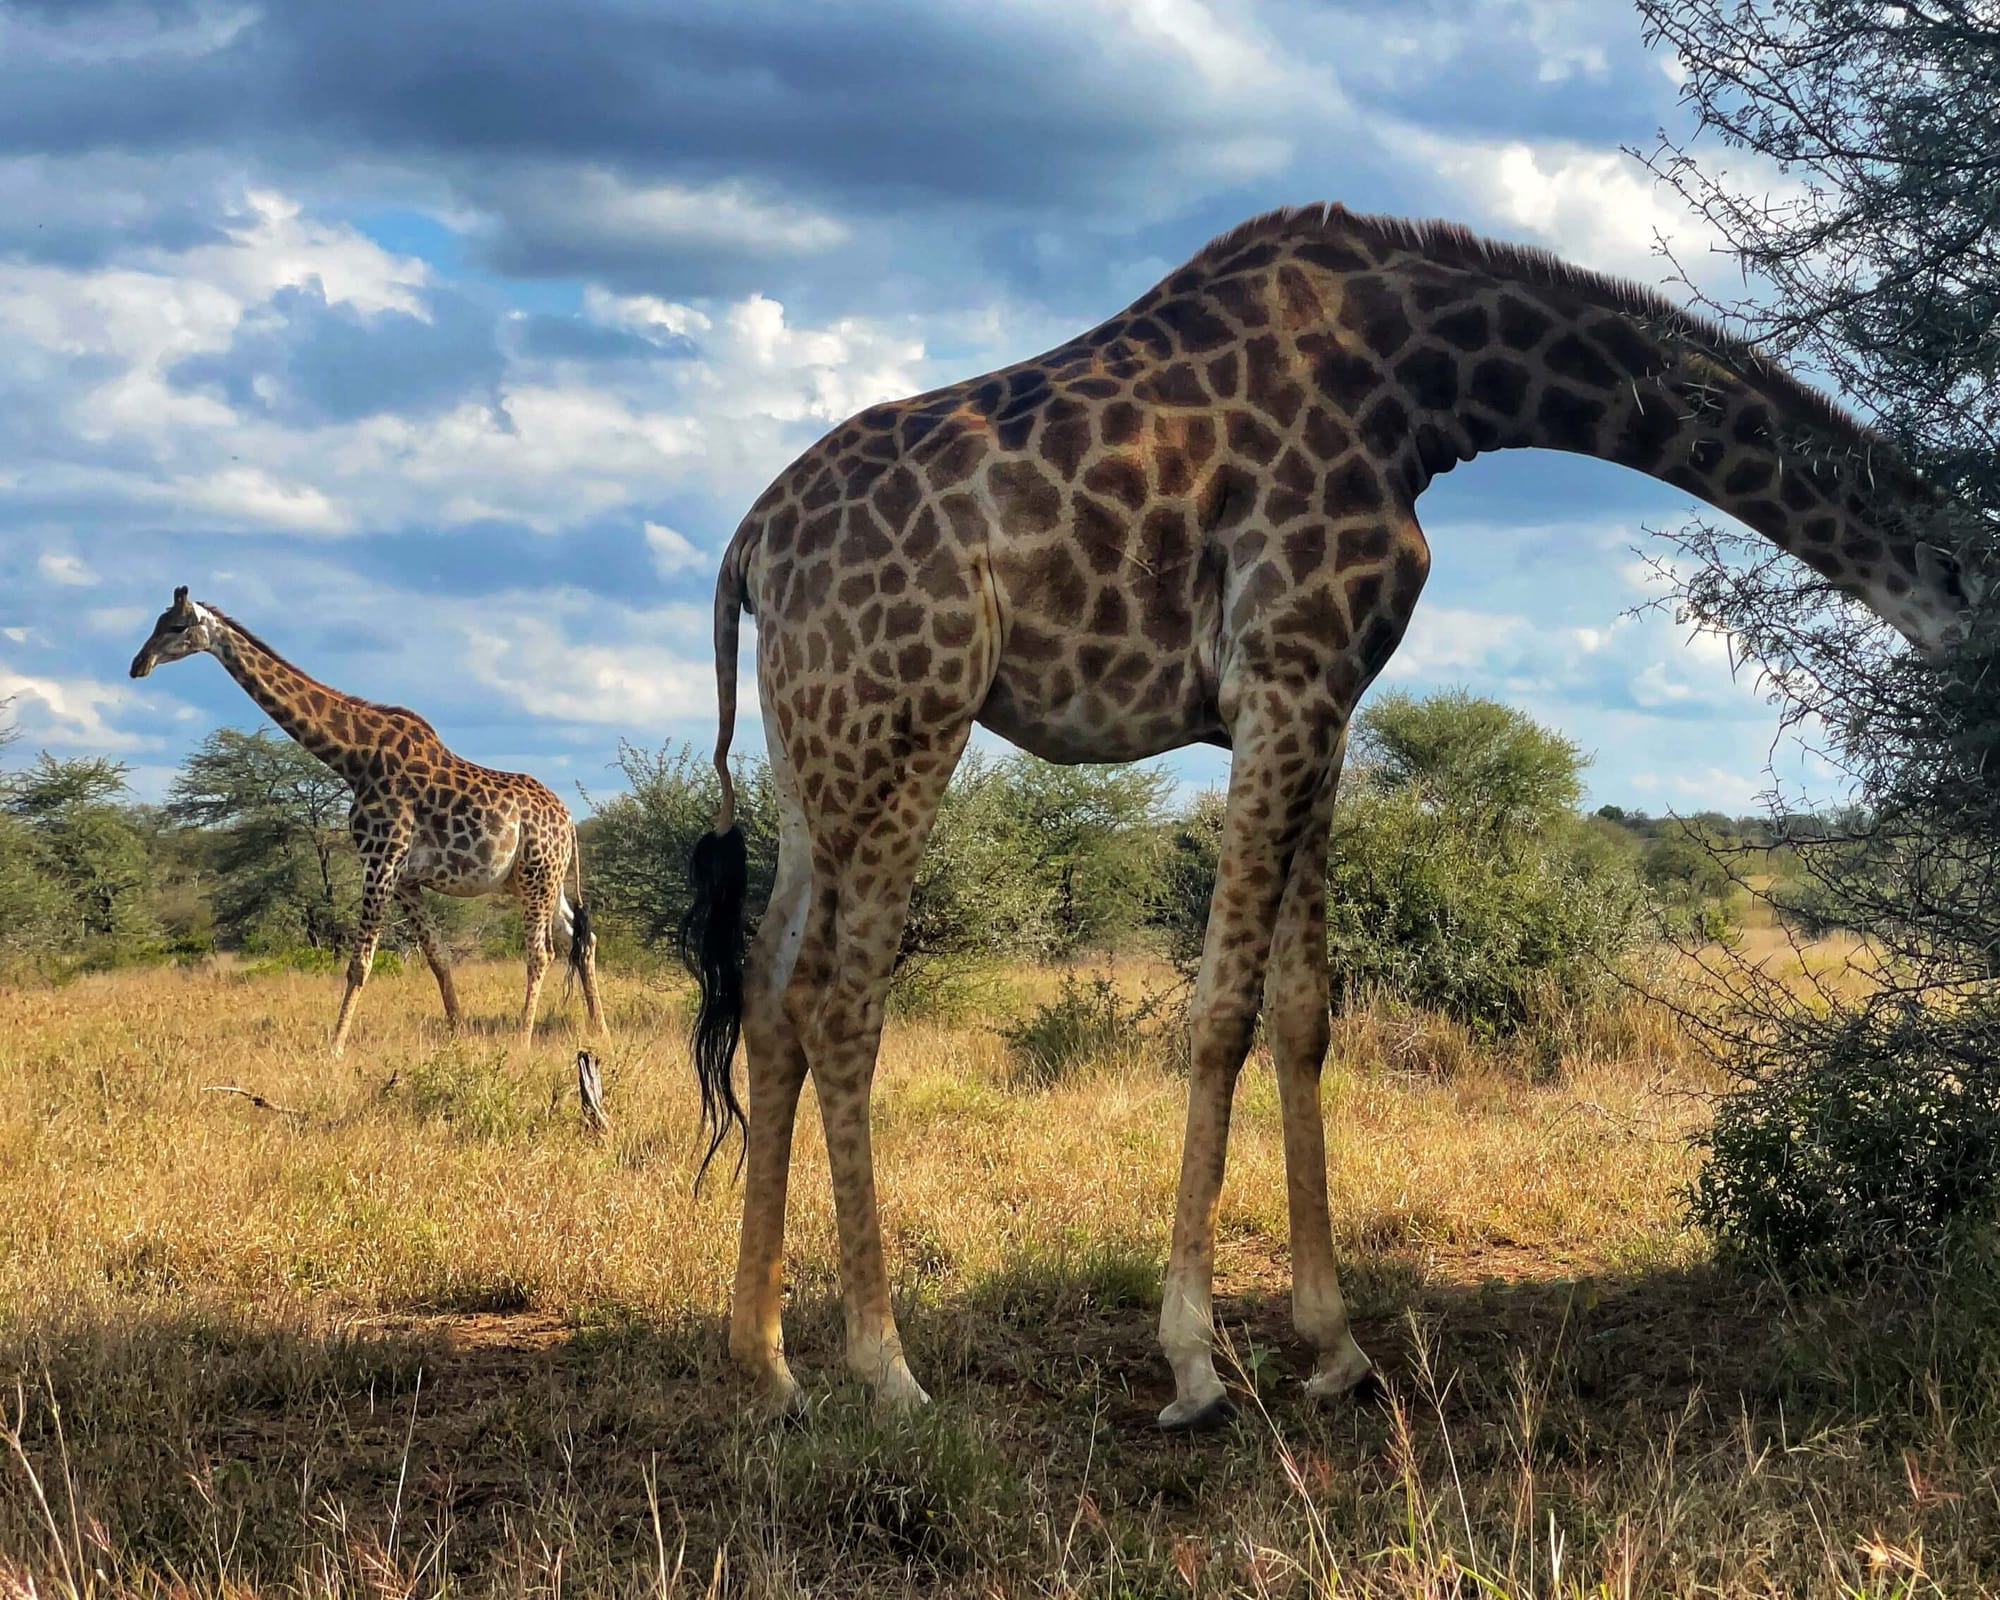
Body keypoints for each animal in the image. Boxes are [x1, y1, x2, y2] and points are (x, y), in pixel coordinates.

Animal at [129, 592, 604, 1056]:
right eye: (156, 622)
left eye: (176, 626)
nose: (138, 664)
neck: (353, 758)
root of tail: (568, 821)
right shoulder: (406, 877)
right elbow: (437, 957)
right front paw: (459, 1034)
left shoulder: (382, 860)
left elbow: (360, 962)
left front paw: (335, 1048)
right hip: (537, 880)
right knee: (582, 938)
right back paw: (599, 1030)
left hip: (537, 877)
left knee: (541, 952)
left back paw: (524, 1039)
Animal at [680, 203, 1976, 1440]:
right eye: (1974, 579)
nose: (1960, 699)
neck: (1423, 387)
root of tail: (748, 547)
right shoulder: (1281, 677)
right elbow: (1219, 1011)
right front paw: (1193, 1365)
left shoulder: (1328, 706)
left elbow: (1303, 1013)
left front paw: (1334, 1348)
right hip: (910, 717)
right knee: (843, 1008)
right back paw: (884, 1369)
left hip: (816, 751)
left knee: (769, 993)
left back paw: (766, 1366)